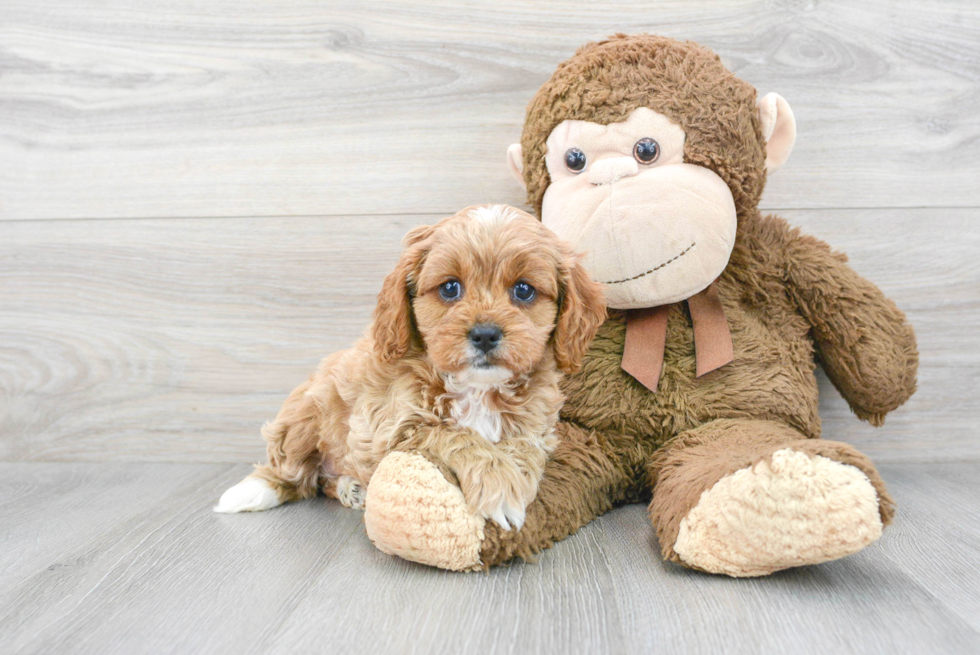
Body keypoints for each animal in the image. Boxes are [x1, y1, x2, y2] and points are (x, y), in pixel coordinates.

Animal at [216, 205, 604, 532]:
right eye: (450, 288)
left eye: (524, 290)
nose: (484, 334)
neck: (477, 389)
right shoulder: (392, 429)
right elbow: (455, 434)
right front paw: (499, 487)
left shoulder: (534, 428)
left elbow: (523, 452)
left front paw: (516, 483)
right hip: (306, 414)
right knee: (295, 474)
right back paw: (257, 490)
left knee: (321, 481)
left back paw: (349, 487)